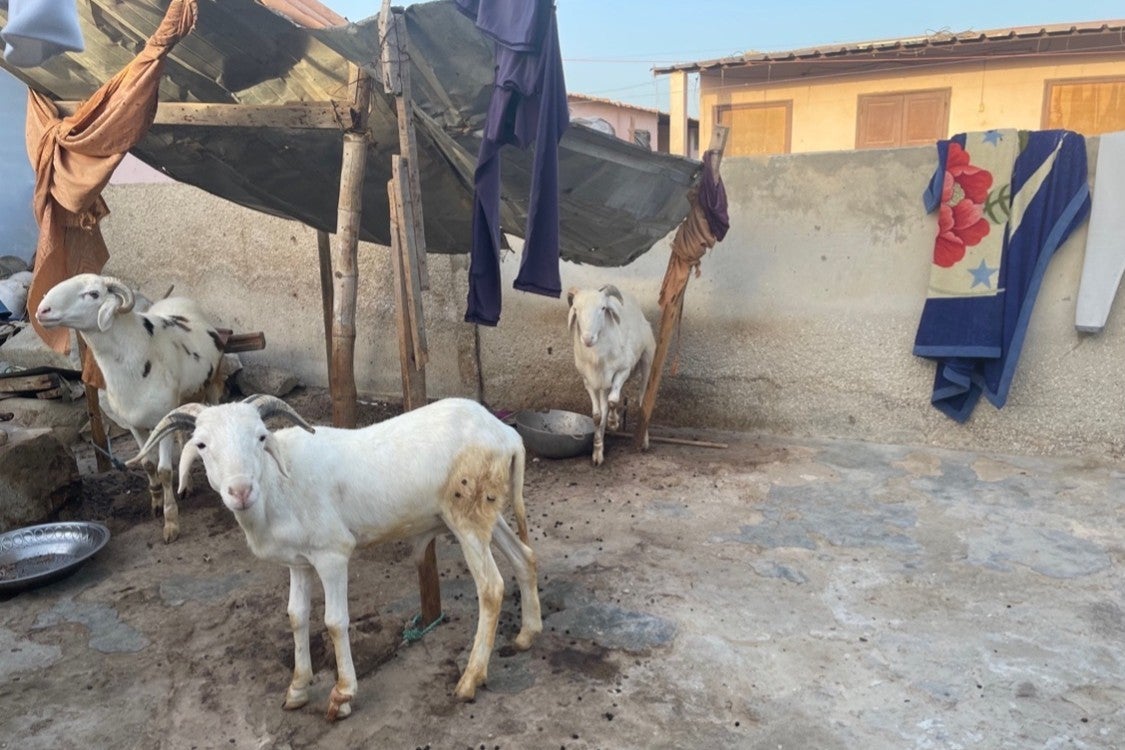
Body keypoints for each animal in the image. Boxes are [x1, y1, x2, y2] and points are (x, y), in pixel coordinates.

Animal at [35, 273, 224, 542]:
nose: (42, 311)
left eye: (94, 294)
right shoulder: (134, 423)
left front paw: (171, 524)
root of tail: (178, 299)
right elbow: (148, 464)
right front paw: (156, 503)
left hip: (214, 385)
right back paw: (186, 486)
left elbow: (165, 470)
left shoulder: (161, 420)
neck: (136, 352)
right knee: (181, 436)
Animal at [128, 395, 541, 721]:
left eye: (261, 437)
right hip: (488, 513)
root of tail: (508, 436)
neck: (278, 484)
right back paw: (526, 635)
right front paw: (297, 688)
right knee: (525, 557)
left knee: (492, 588)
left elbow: (334, 622)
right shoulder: (298, 562)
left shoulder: (332, 555)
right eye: (200, 444)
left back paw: (470, 679)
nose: (240, 491)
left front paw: (342, 696)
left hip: (466, 517)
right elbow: (297, 617)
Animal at [567, 285, 656, 465]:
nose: (587, 339)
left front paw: (614, 422)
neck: (596, 355)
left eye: (603, 308)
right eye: (576, 309)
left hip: (647, 358)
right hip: (603, 383)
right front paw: (597, 451)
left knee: (642, 399)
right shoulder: (588, 381)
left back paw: (644, 442)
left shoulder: (623, 370)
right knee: (604, 405)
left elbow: (614, 401)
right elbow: (597, 416)